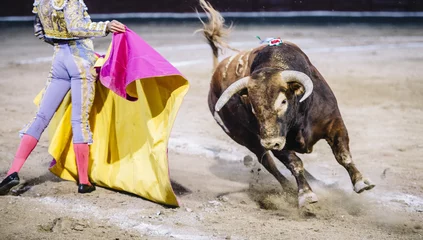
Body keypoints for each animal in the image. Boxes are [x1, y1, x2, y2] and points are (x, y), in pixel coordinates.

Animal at [199, 0, 374, 207]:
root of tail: (215, 73)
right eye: (252, 106)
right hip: (246, 138)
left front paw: (361, 182)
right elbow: (294, 163)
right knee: (268, 163)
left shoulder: (334, 122)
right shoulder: (275, 142)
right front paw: (306, 194)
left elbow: (343, 155)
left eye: (283, 101)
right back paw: (290, 189)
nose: (270, 142)